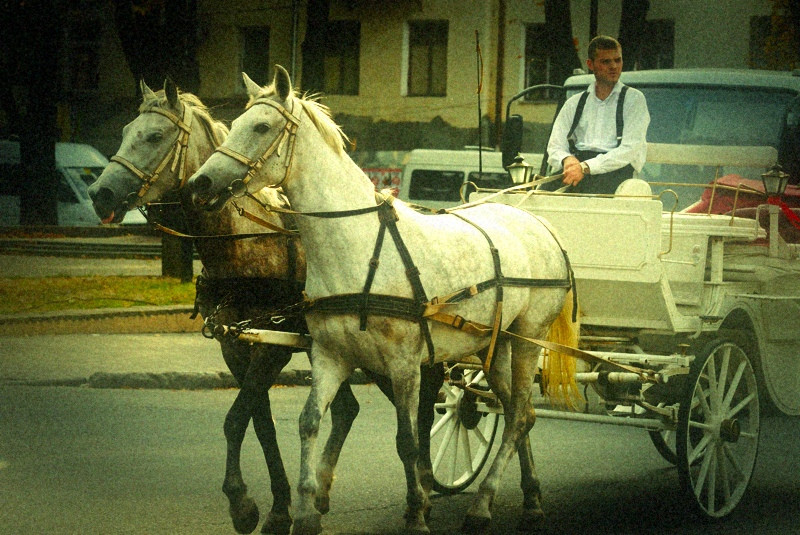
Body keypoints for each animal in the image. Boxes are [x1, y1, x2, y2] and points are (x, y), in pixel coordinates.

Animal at [88, 79, 444, 535]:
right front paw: (278, 506)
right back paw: (324, 493)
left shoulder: (274, 349)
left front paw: (243, 502)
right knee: (350, 409)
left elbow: (236, 419)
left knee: (425, 404)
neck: (248, 242)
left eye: (154, 136)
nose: (99, 193)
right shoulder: (238, 346)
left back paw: (425, 488)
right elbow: (260, 424)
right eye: (124, 132)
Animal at [187, 65, 578, 534]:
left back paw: (483, 505)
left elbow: (407, 441)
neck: (358, 244)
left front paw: (416, 512)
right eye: (236, 124)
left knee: (518, 414)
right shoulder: (330, 356)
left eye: (261, 127)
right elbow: (308, 423)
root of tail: (542, 225)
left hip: (528, 339)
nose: (200, 182)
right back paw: (531, 497)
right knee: (520, 413)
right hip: (494, 344)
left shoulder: (405, 363)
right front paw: (306, 510)